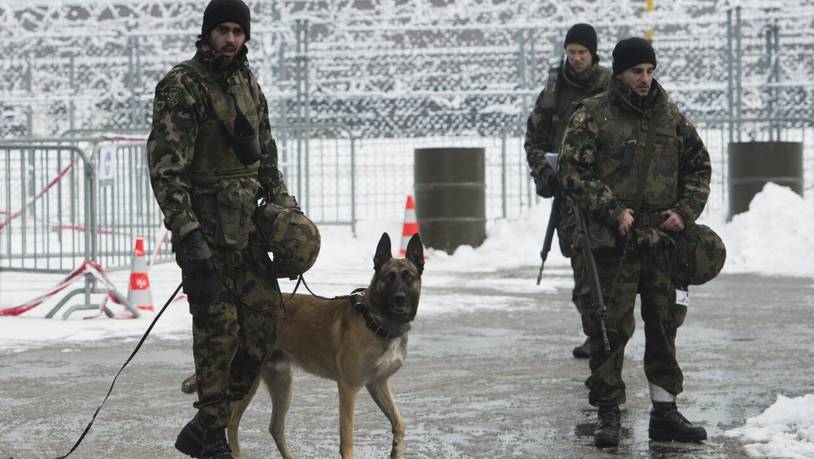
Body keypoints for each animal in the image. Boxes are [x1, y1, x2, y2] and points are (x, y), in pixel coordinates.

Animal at [183, 235, 428, 458]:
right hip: (246, 380)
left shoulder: (377, 384)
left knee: (274, 427)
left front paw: (396, 451)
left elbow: (400, 422)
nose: (400, 298)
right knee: (230, 422)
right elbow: (347, 438)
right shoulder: (348, 388)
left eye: (409, 277)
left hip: (282, 383)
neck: (375, 320)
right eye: (389, 277)